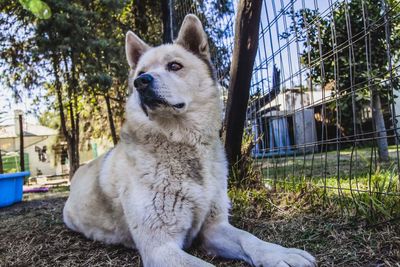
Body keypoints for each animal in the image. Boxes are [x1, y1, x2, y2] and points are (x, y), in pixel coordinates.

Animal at [63, 13, 316, 266]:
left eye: (174, 66)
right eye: (141, 72)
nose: (141, 82)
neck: (182, 142)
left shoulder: (214, 227)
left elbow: (249, 238)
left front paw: (279, 253)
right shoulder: (160, 248)